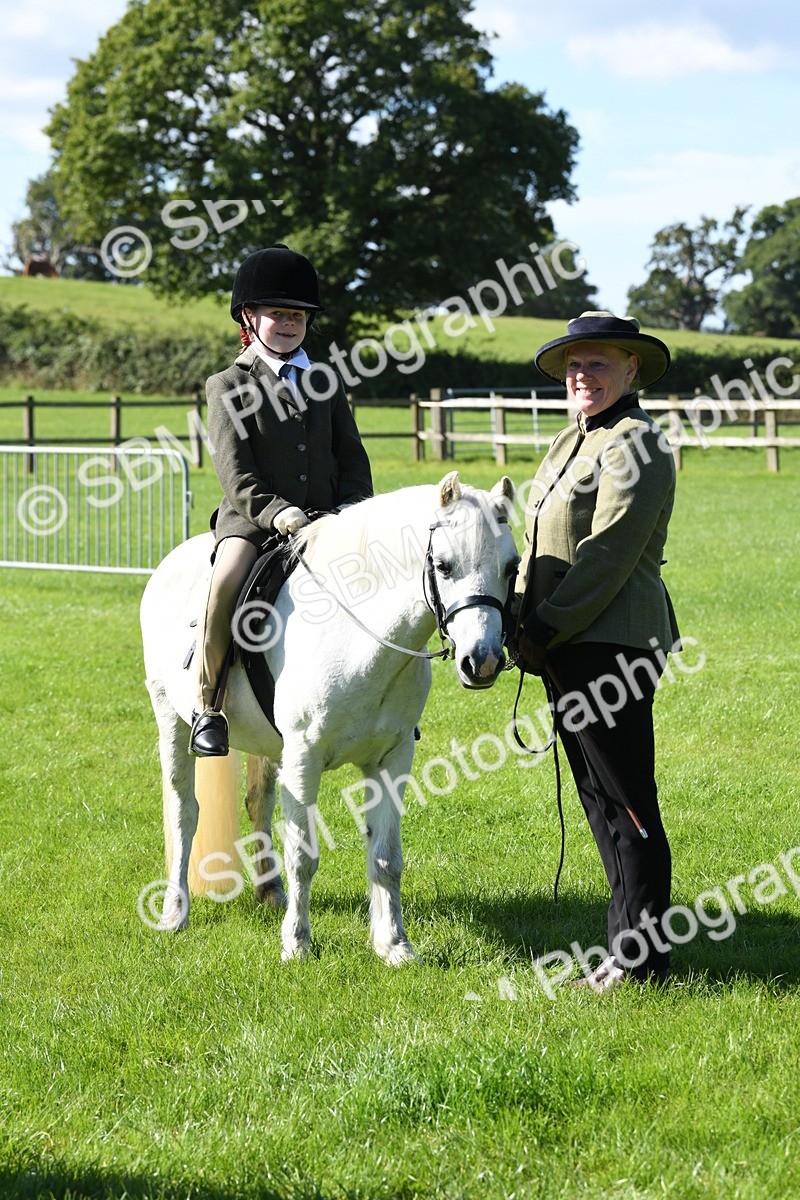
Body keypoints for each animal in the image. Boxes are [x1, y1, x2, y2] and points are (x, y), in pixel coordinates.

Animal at [140, 471, 519, 963]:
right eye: (444, 566)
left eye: (511, 567)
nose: (483, 661)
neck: (358, 636)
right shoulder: (304, 758)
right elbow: (303, 855)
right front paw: (297, 943)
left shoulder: (392, 760)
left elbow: (386, 857)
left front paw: (394, 944)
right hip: (172, 719)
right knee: (185, 813)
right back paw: (174, 912)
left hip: (267, 744)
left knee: (257, 802)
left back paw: (270, 893)